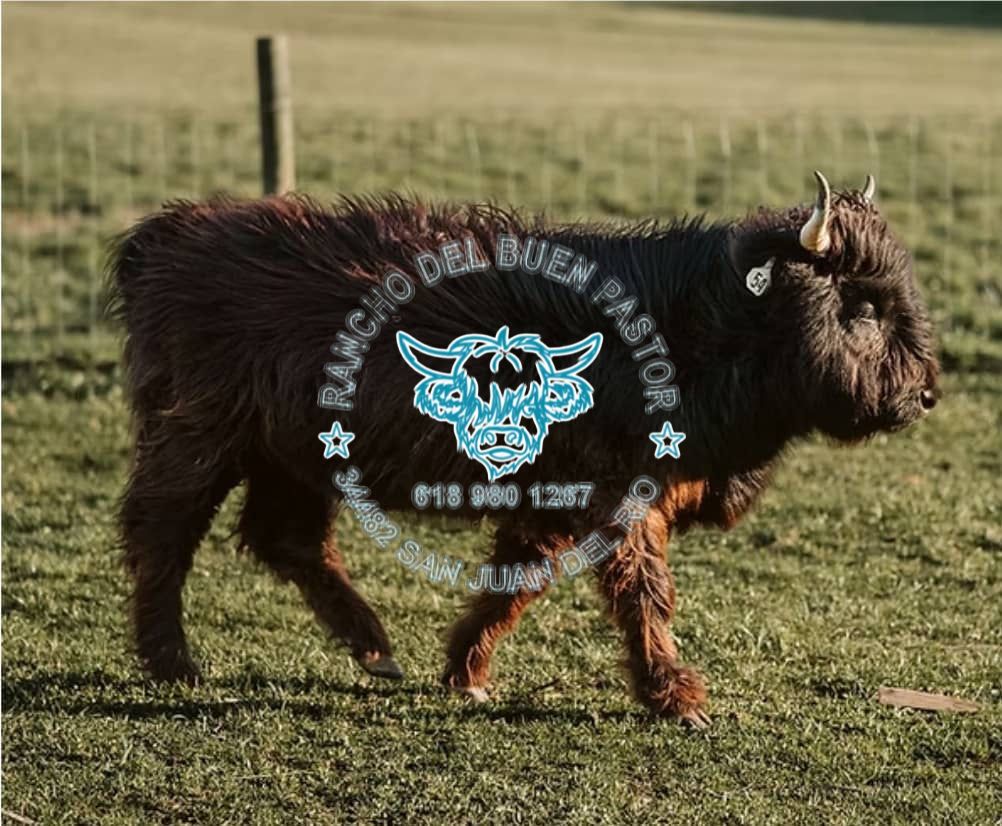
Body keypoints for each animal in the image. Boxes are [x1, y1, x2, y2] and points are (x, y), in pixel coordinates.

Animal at [107, 171, 939, 726]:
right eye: (861, 305)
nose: (925, 393)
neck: (696, 326)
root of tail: (169, 234)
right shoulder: (617, 495)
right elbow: (642, 591)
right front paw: (675, 697)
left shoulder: (558, 491)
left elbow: (518, 576)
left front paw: (466, 670)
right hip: (201, 434)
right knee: (164, 531)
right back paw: (172, 661)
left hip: (295, 454)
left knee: (287, 540)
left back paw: (375, 648)